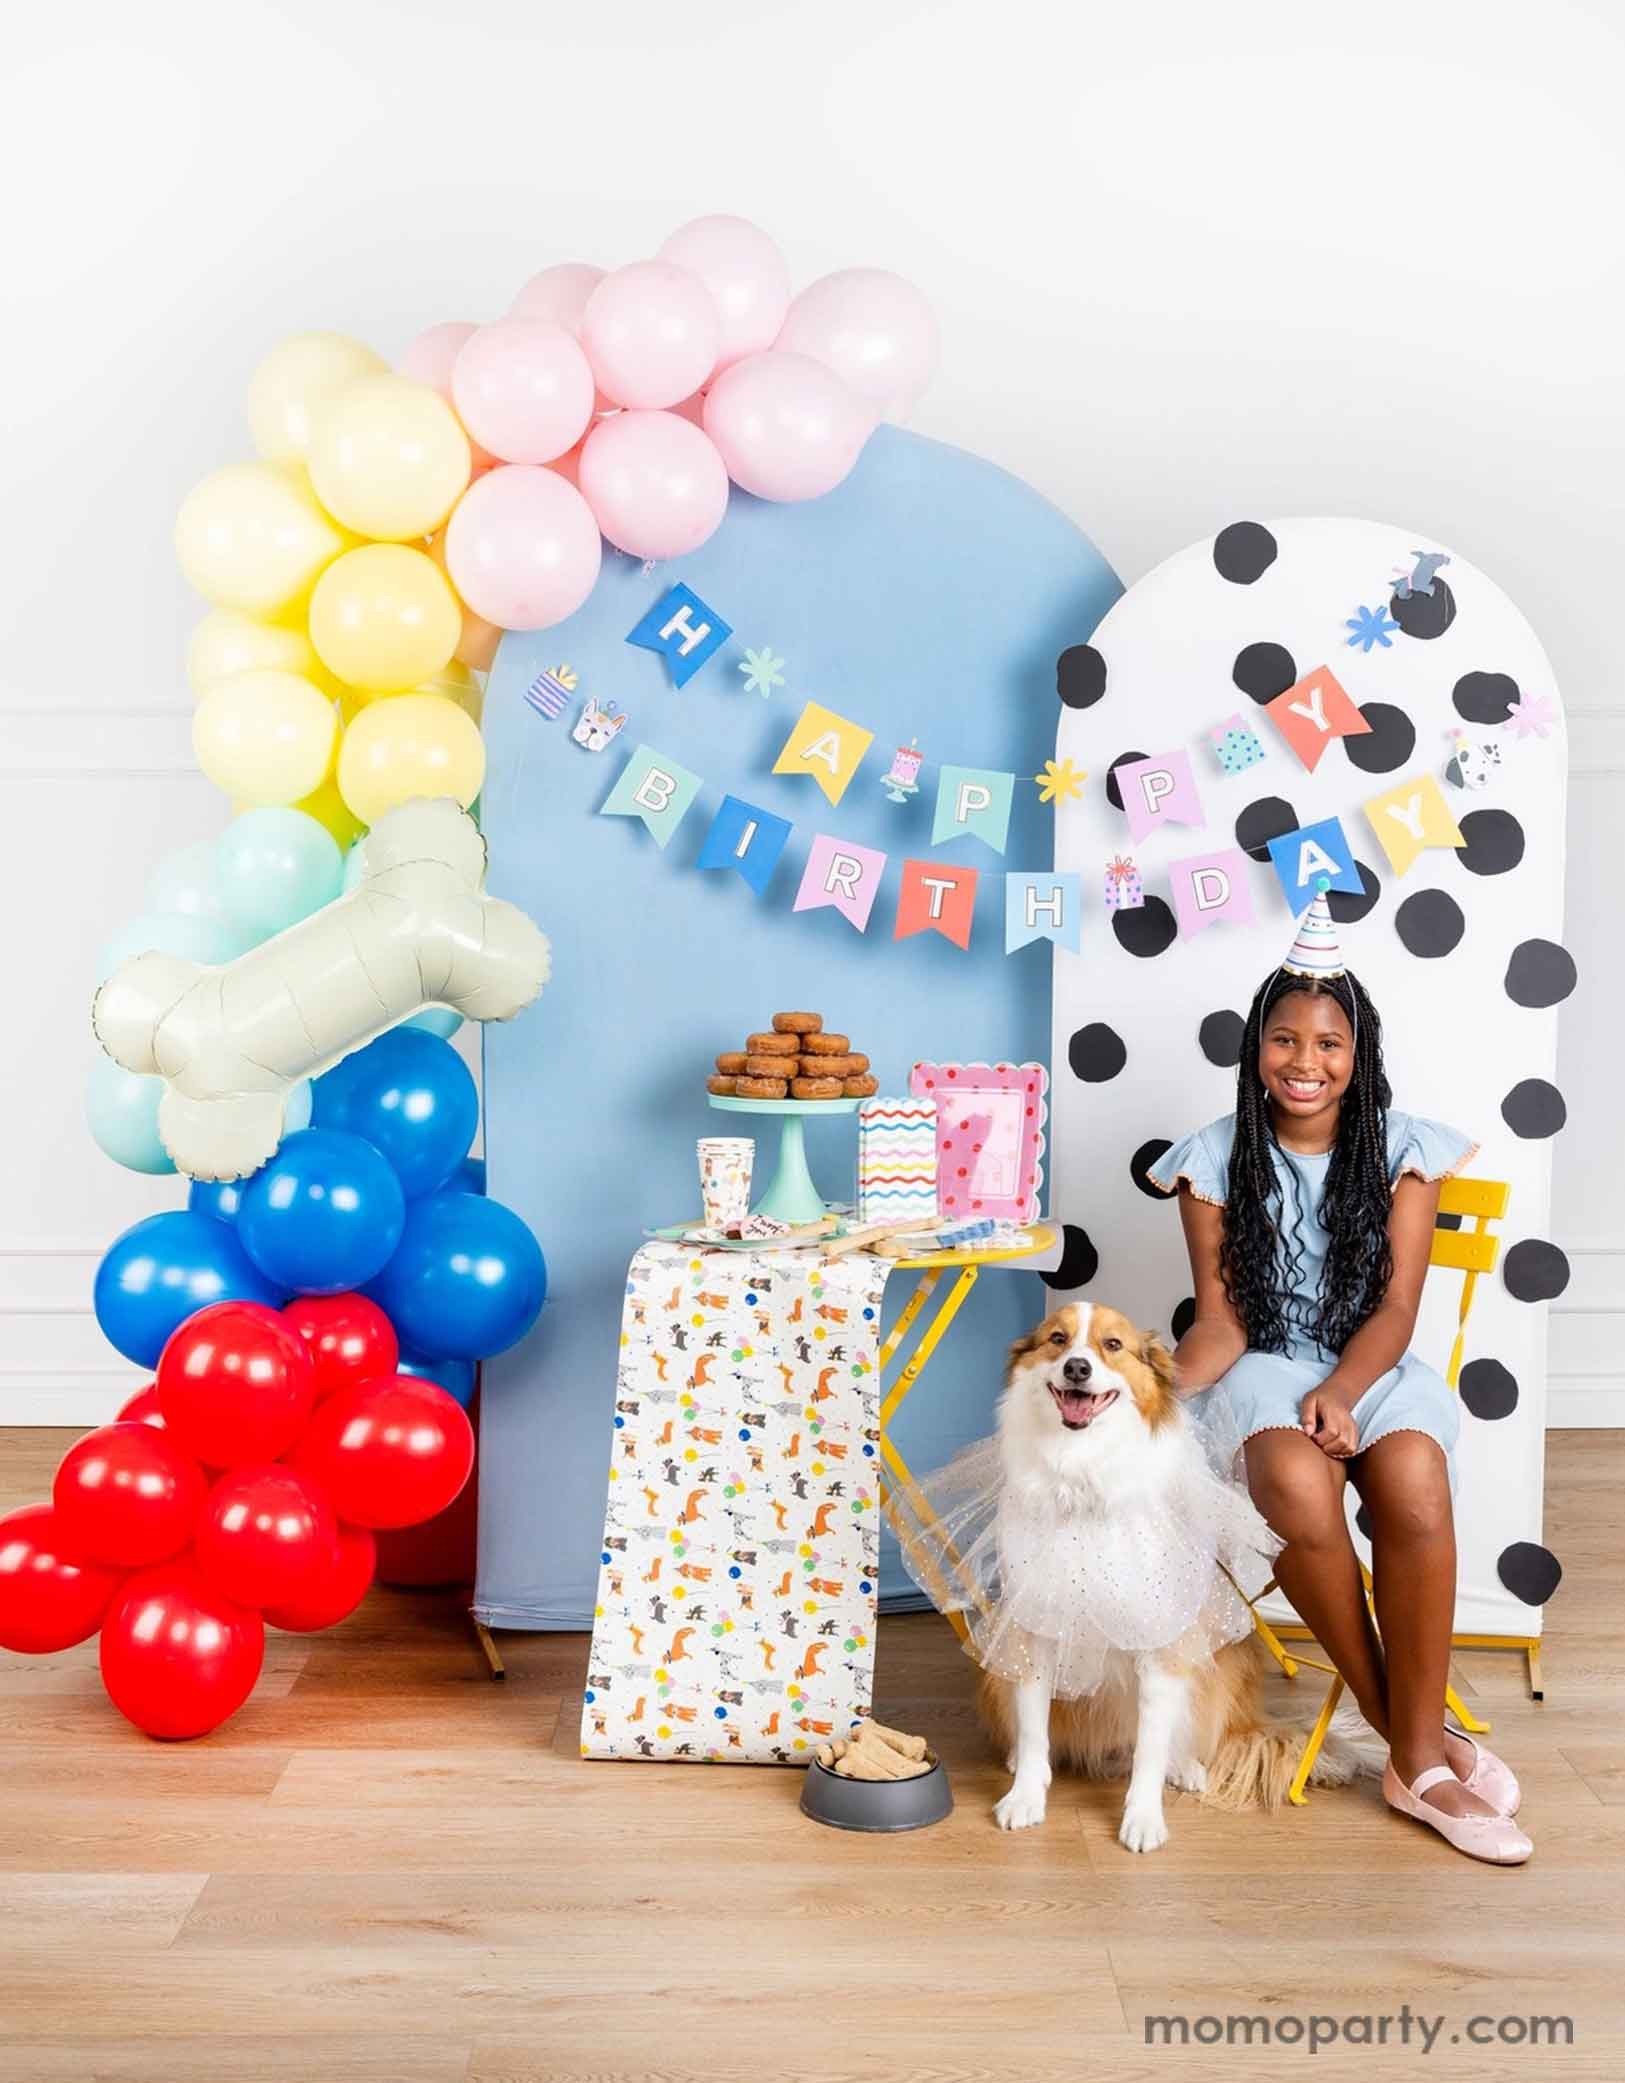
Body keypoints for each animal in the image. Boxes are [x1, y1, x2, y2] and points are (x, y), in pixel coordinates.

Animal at [983, 1299, 1375, 1858]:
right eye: (1058, 1339)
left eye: (1113, 1345)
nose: (1077, 1368)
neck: (1084, 1475)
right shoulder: (1035, 1627)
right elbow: (1037, 1730)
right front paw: (1025, 1796)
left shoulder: (1158, 1642)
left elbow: (1151, 1748)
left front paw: (1143, 1818)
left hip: (1214, 1662)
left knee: (1171, 1737)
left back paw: (1186, 1768)